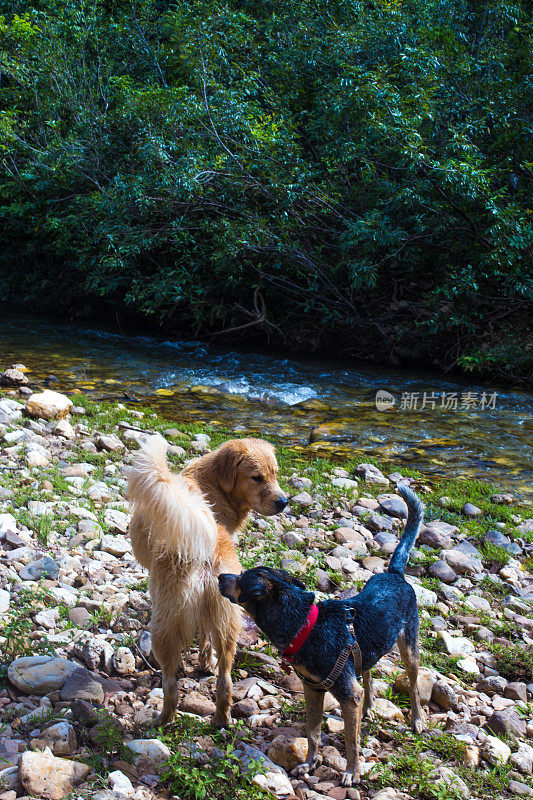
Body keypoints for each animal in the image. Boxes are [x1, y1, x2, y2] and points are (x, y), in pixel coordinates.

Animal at [218, 484, 426, 784]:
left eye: (240, 579)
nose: (220, 577)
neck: (304, 625)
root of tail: (395, 574)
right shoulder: (312, 688)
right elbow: (313, 733)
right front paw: (309, 763)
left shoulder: (346, 694)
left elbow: (352, 741)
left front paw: (352, 772)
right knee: (367, 671)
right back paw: (368, 706)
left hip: (409, 645)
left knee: (413, 683)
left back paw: (417, 719)